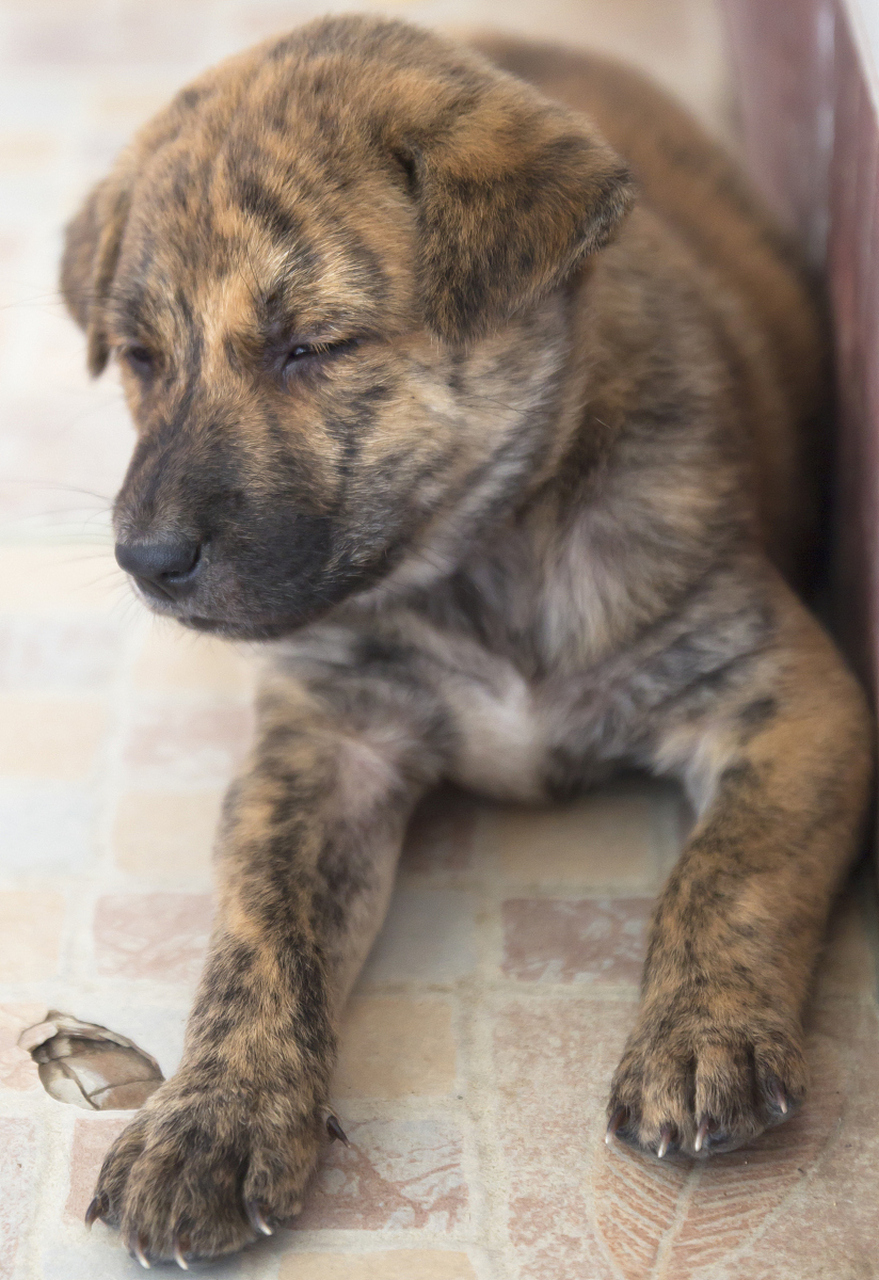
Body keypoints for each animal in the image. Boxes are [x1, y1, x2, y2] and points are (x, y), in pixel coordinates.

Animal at [60, 15, 875, 1264]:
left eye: (313, 346)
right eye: (141, 358)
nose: (145, 560)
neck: (480, 556)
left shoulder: (786, 691)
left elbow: (729, 867)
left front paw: (701, 1031)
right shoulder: (324, 747)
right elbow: (256, 934)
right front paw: (211, 1117)